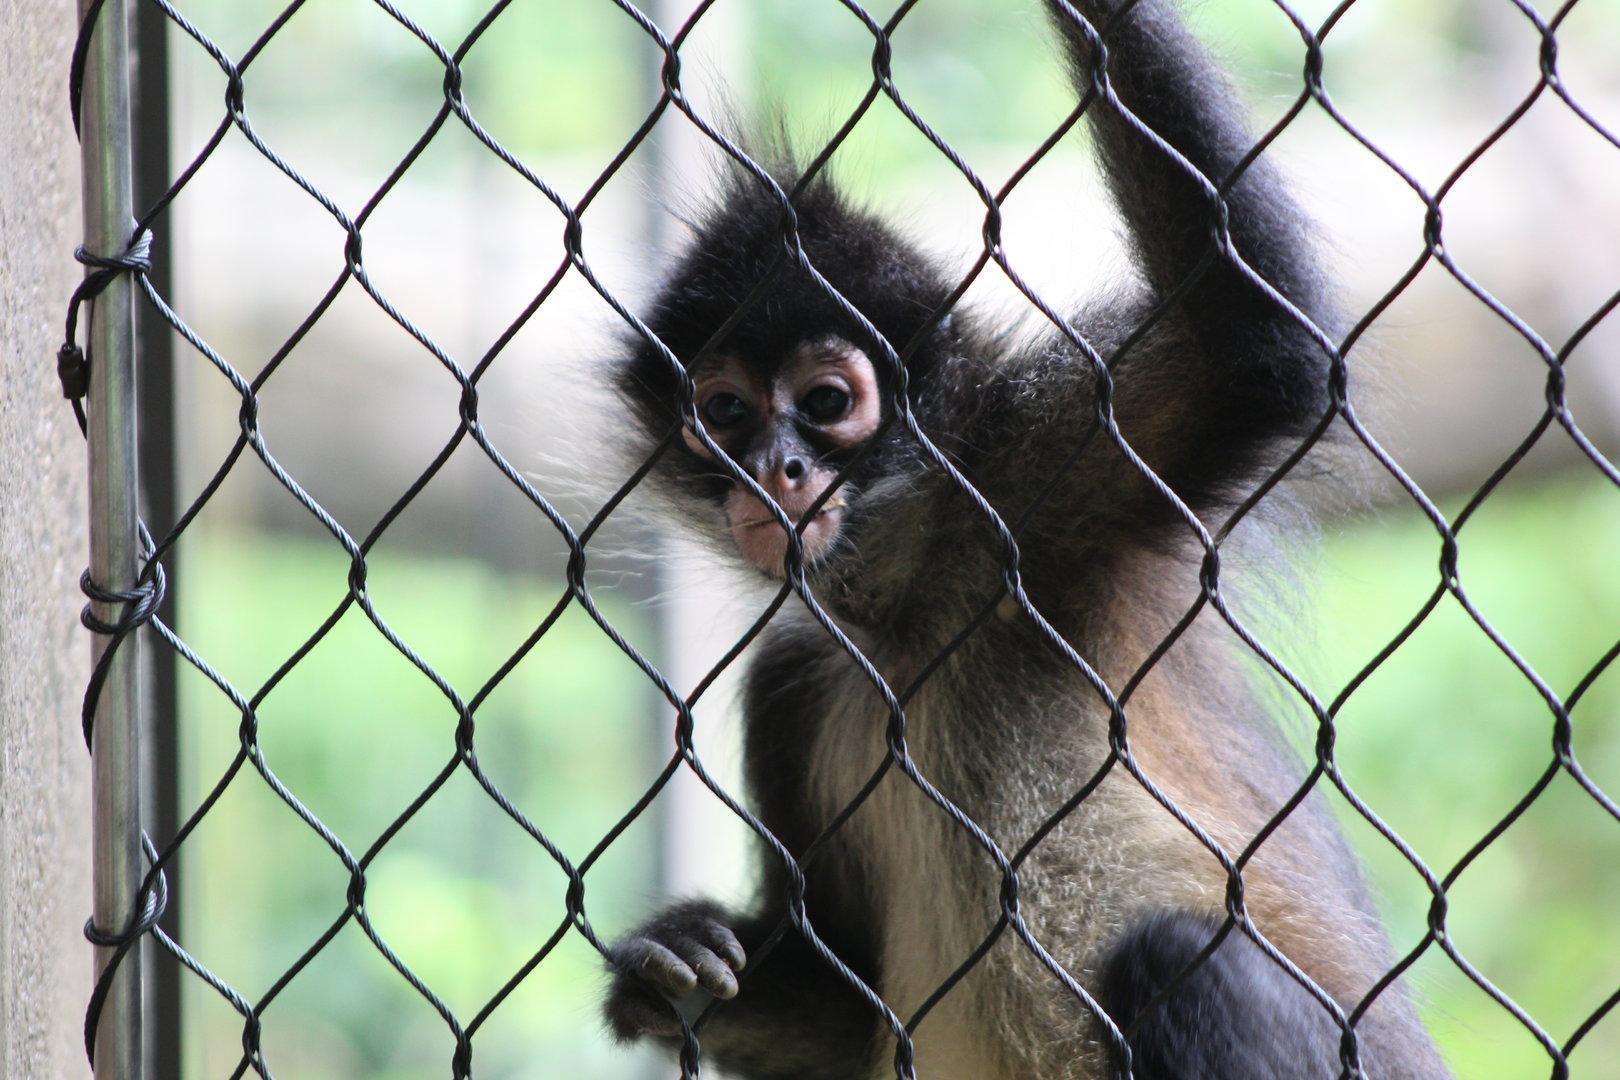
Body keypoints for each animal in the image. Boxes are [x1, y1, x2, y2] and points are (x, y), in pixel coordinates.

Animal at [601, 1, 1453, 1079]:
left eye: (828, 403)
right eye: (723, 414)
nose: (777, 471)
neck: (913, 615)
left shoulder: (1037, 484)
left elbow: (1253, 353)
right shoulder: (796, 682)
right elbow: (835, 1011)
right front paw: (667, 973)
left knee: (1181, 957)